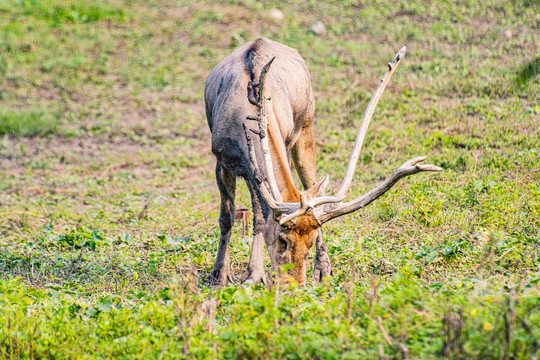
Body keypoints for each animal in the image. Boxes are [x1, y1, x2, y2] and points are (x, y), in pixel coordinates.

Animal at [205, 38, 440, 286]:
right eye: (282, 239)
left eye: (310, 241)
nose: (294, 285)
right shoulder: (222, 159)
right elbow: (228, 217)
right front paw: (220, 274)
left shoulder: (283, 145)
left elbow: (259, 213)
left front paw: (253, 274)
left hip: (305, 128)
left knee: (309, 185)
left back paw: (323, 269)